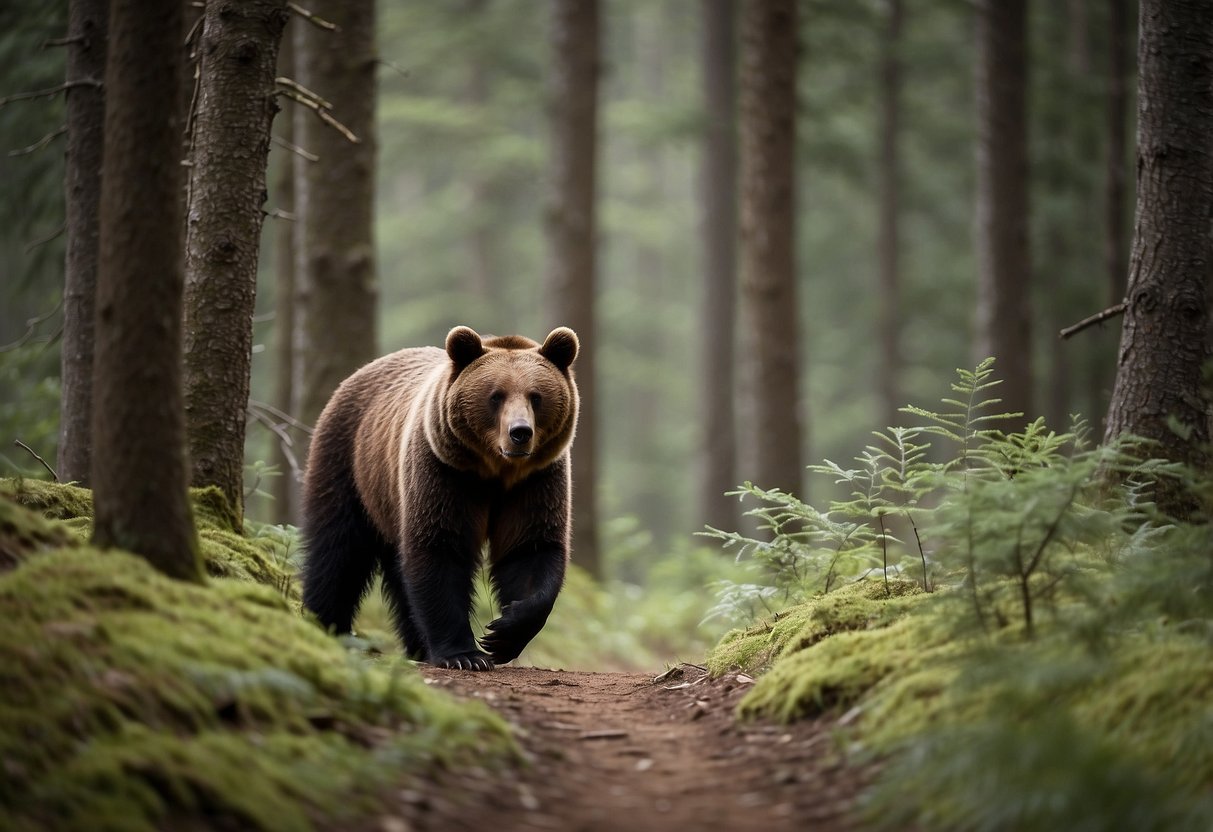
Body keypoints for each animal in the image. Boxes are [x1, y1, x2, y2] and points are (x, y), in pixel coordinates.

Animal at [295, 325, 574, 669]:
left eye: (536, 396)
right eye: (496, 396)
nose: (520, 433)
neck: (496, 471)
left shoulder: (535, 481)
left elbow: (530, 549)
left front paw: (502, 634)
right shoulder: (444, 471)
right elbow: (439, 547)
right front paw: (465, 655)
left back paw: (417, 646)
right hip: (349, 464)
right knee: (337, 550)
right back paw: (327, 626)